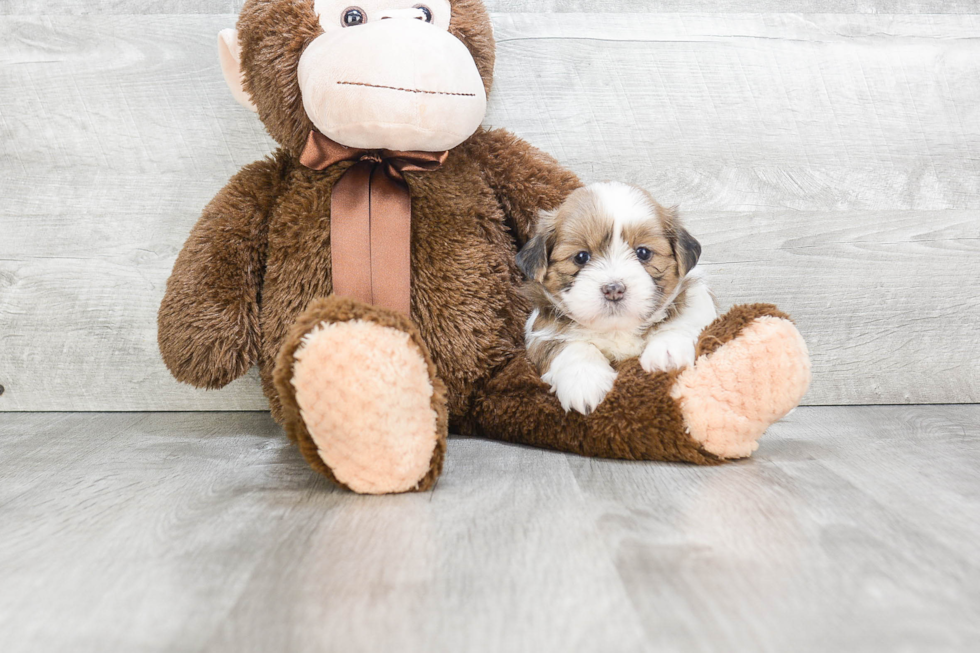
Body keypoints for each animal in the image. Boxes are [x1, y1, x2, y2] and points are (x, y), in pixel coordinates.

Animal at [516, 180, 716, 412]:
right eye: (581, 257)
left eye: (643, 253)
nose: (613, 289)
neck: (617, 329)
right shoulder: (540, 331)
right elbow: (567, 346)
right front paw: (584, 380)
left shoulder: (698, 299)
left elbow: (682, 321)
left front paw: (667, 353)